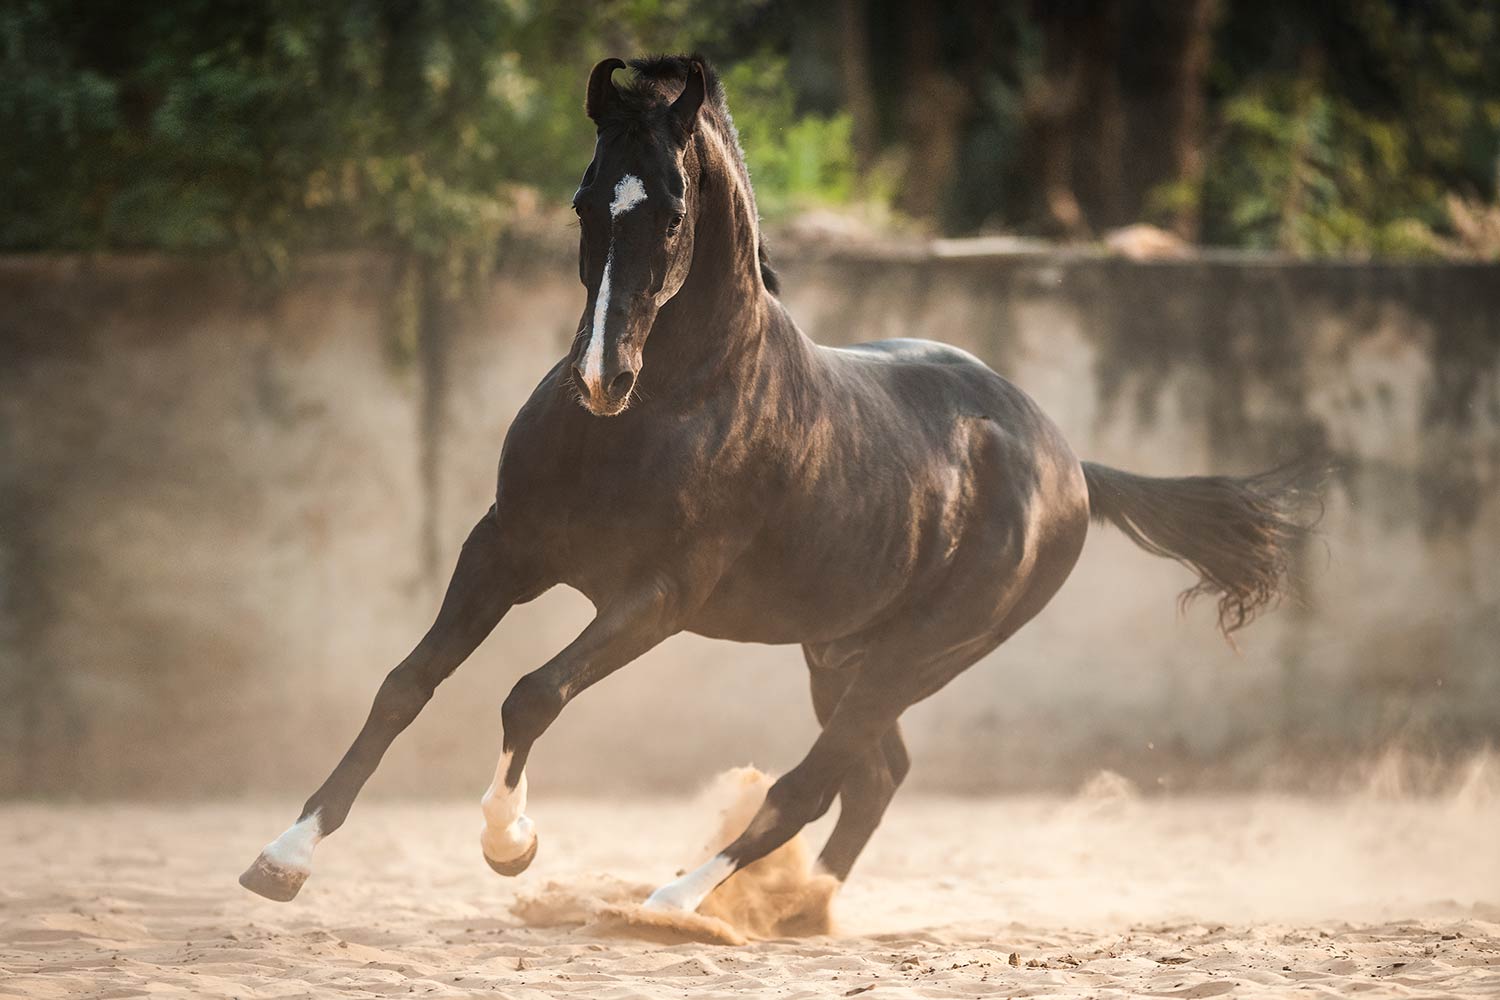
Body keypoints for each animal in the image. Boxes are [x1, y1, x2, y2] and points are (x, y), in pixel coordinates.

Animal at [240, 55, 1311, 912]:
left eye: (674, 209)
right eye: (585, 201)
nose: (600, 378)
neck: (663, 408)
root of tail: (1070, 466)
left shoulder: (657, 597)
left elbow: (530, 695)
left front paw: (512, 846)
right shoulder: (506, 545)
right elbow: (406, 683)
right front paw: (283, 859)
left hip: (920, 655)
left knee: (818, 781)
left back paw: (679, 904)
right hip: (841, 651)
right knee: (873, 775)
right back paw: (798, 910)